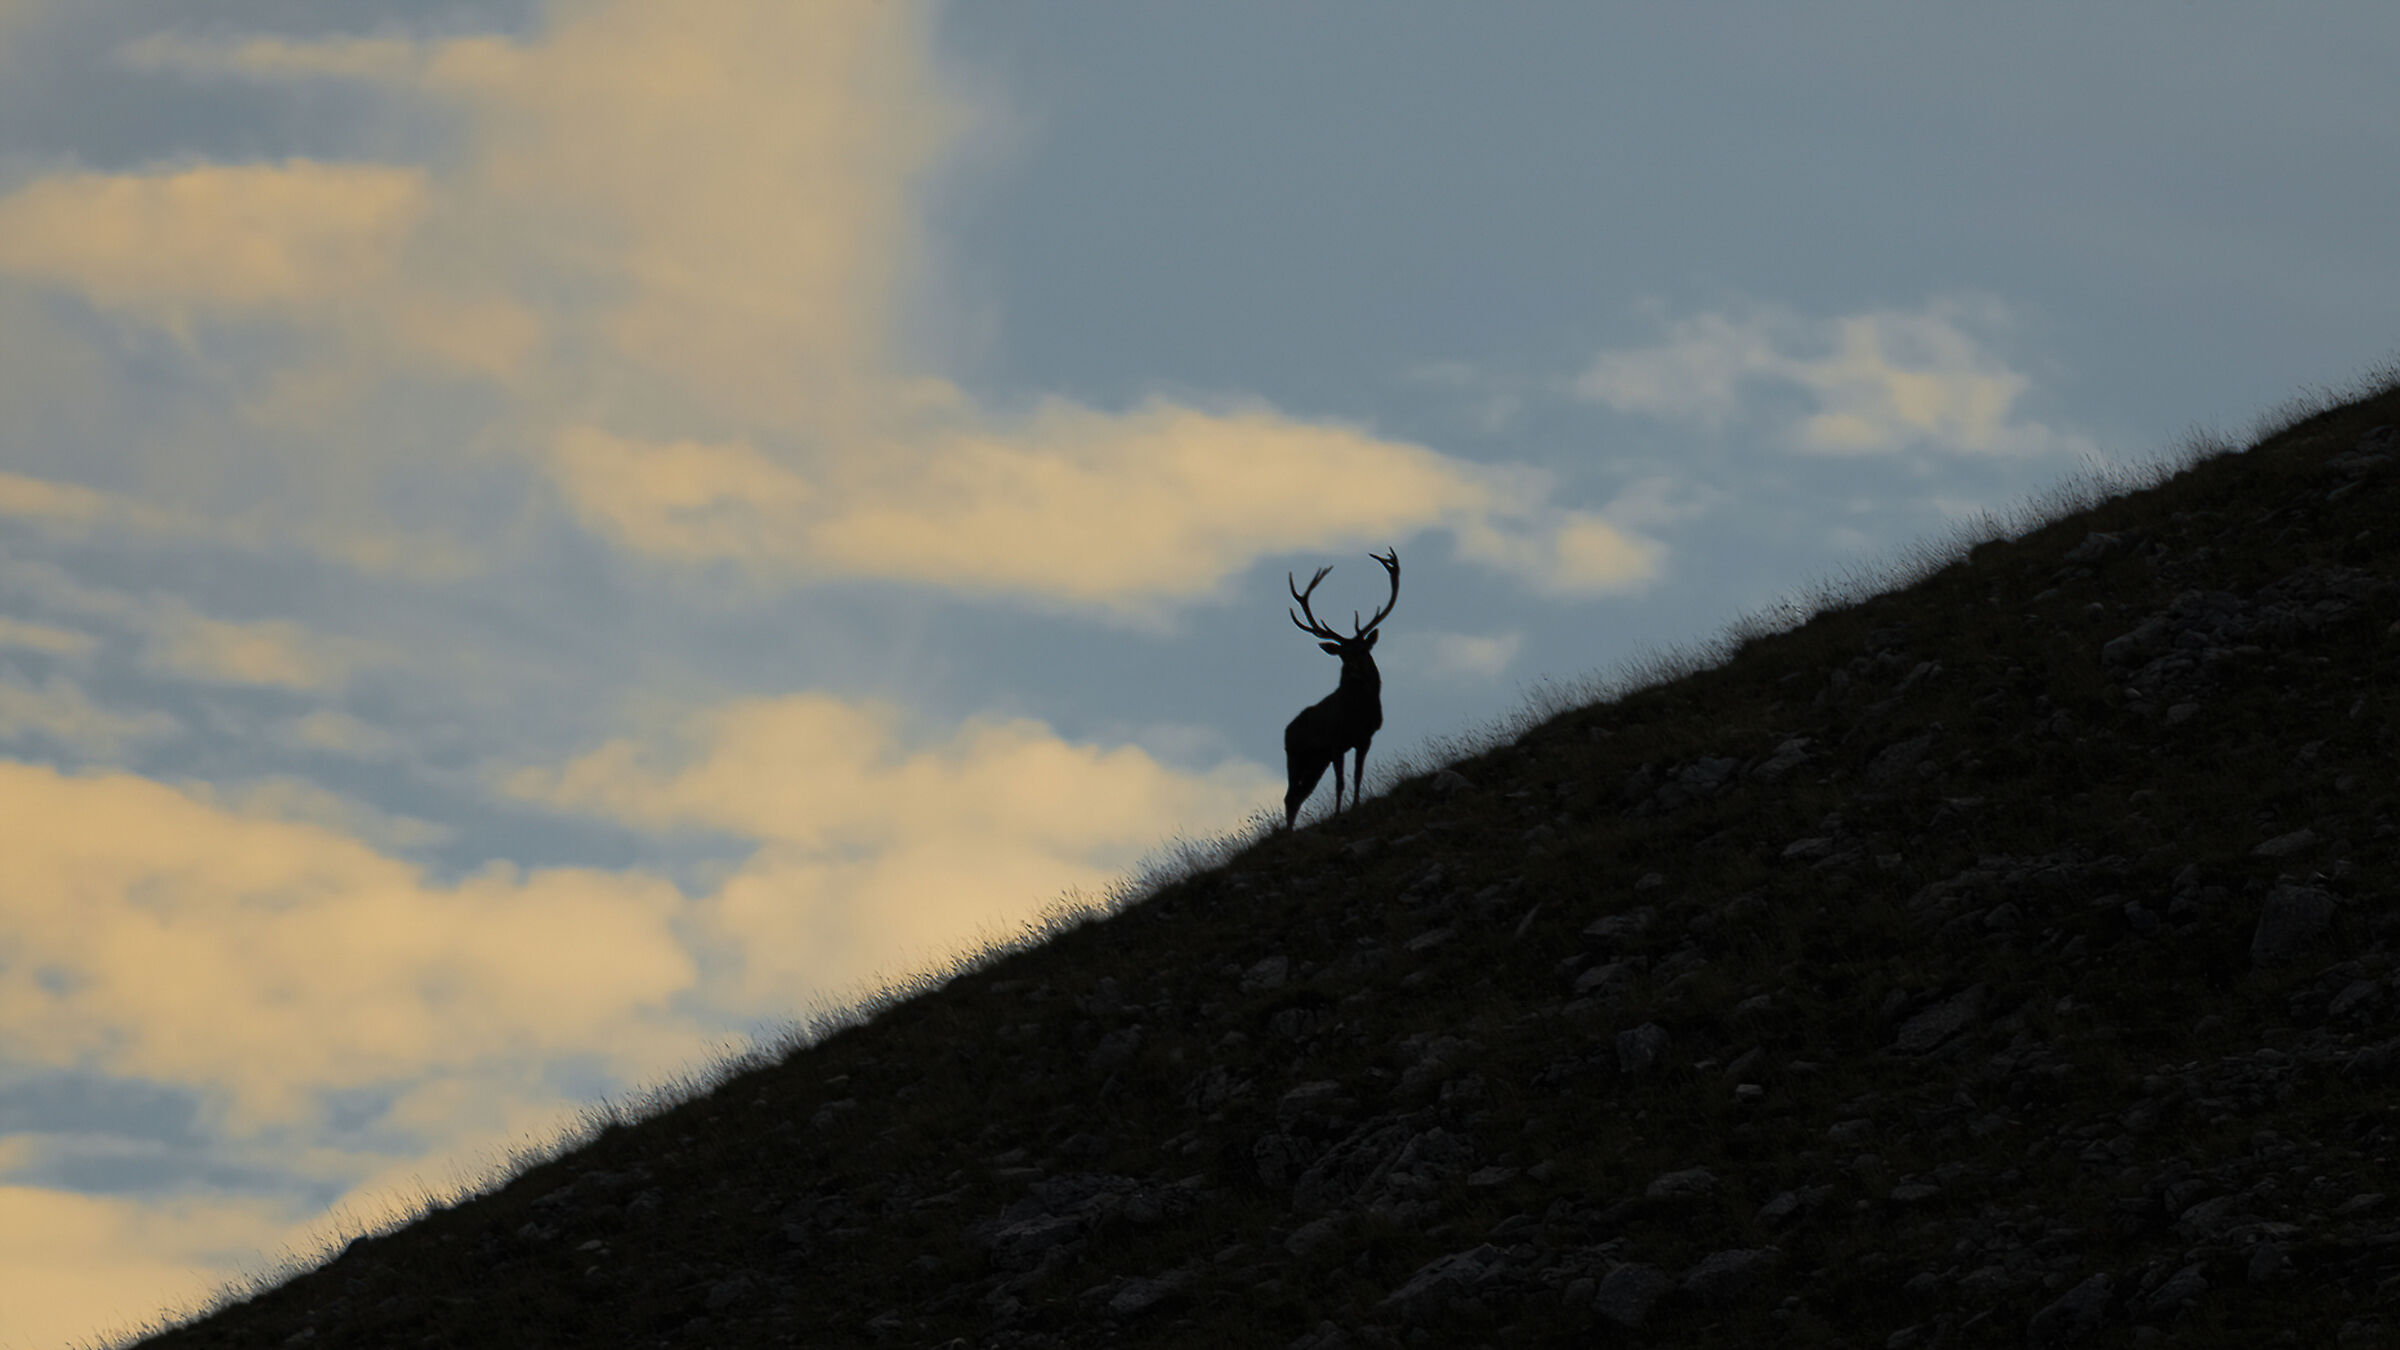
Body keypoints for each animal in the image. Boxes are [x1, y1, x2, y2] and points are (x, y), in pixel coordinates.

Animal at [1282, 548, 1400, 829]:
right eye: (1343, 655)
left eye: (1363, 649)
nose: (1356, 670)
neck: (1358, 713)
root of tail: (1286, 730)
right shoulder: (1336, 742)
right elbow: (1340, 782)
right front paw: (1338, 814)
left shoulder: (1365, 738)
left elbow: (1357, 776)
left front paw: (1355, 806)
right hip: (1296, 756)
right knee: (1290, 796)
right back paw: (1288, 832)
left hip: (1317, 761)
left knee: (1300, 795)